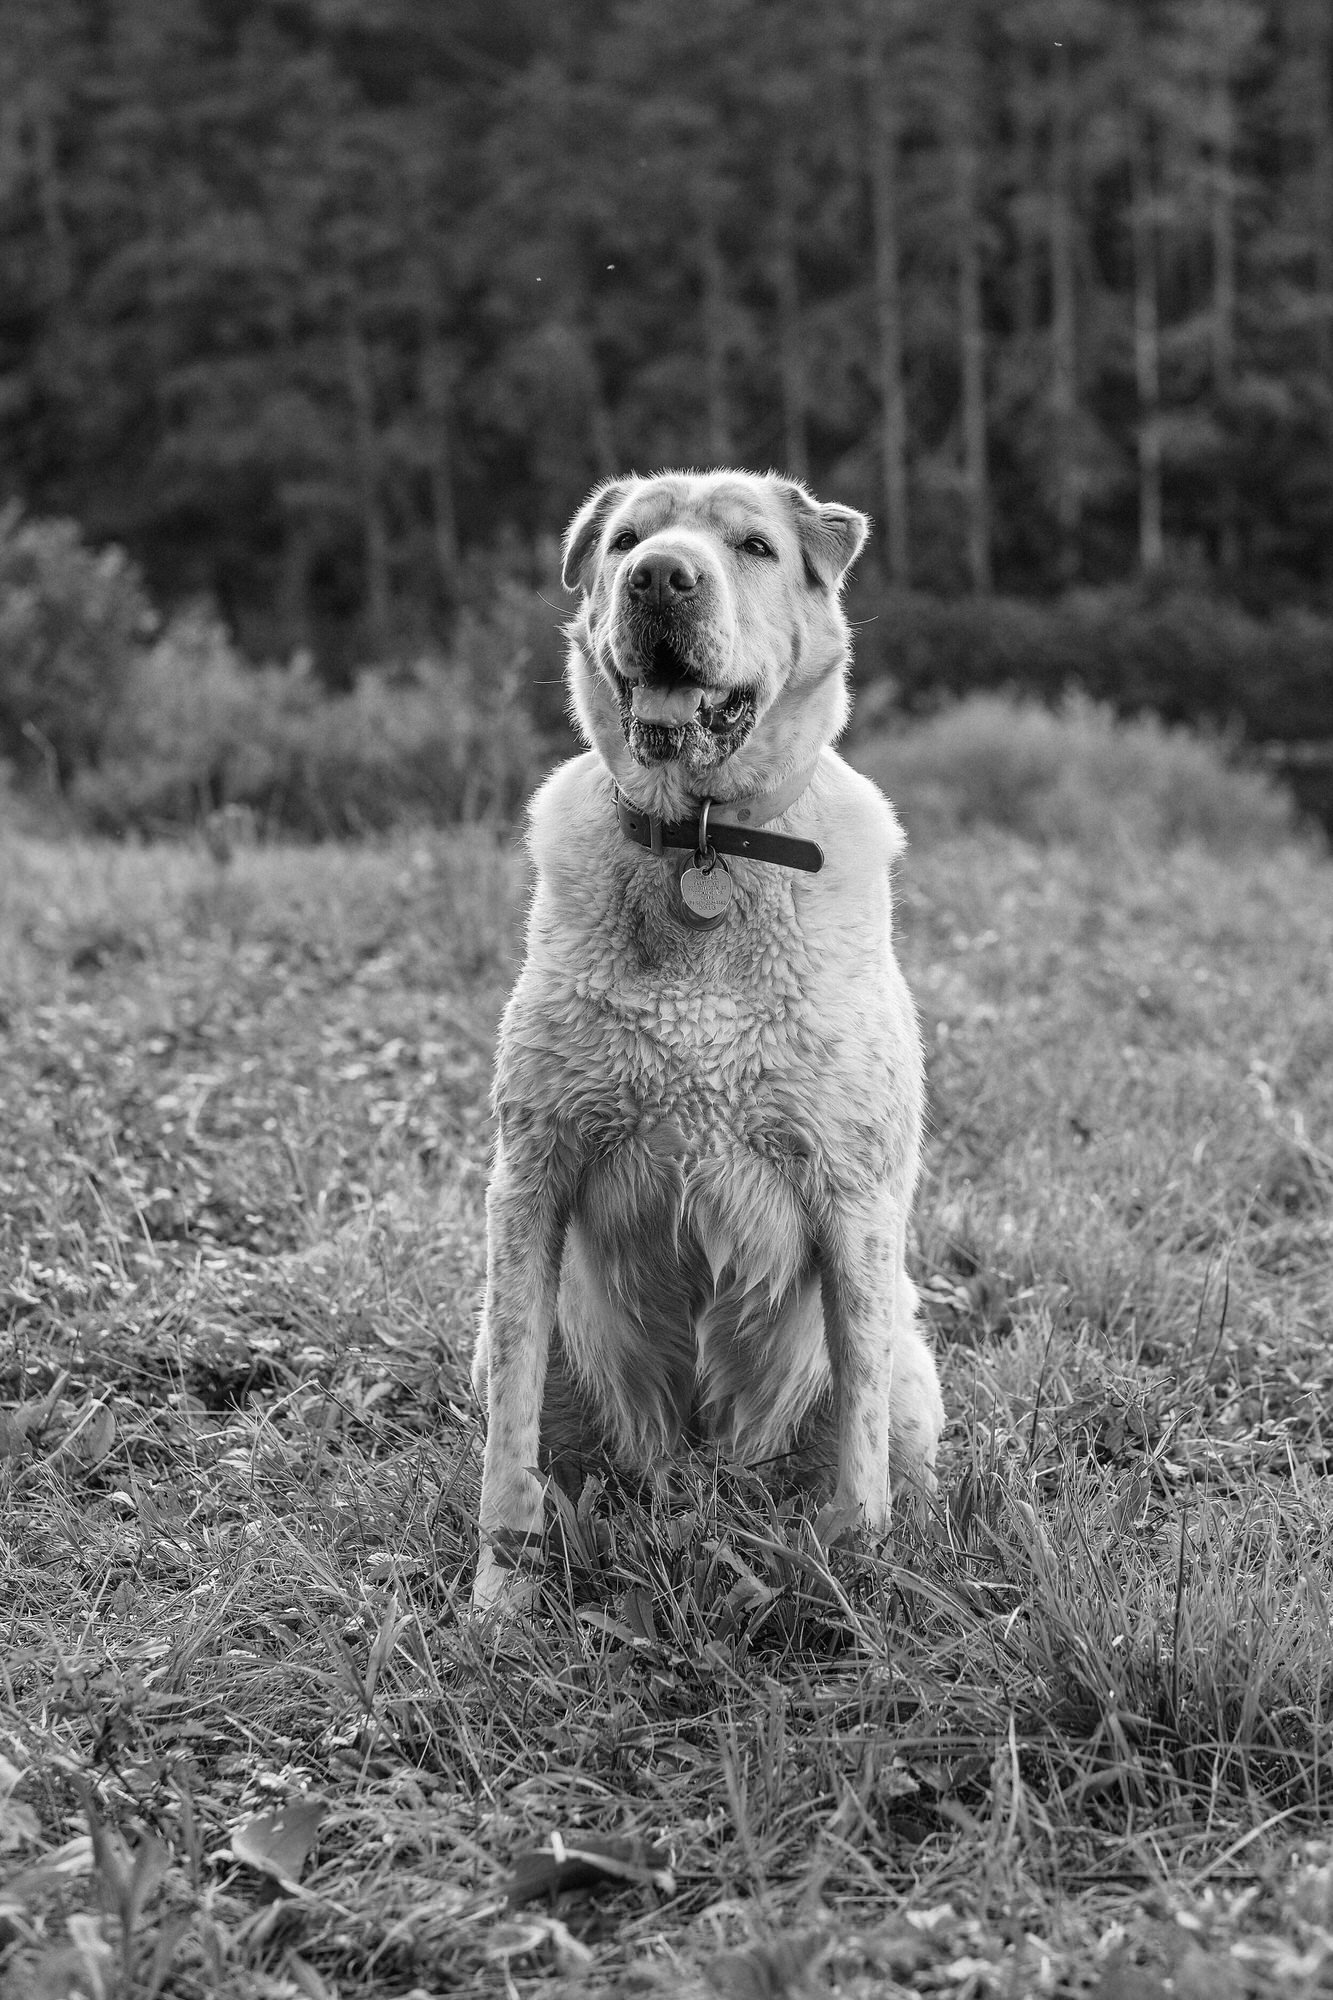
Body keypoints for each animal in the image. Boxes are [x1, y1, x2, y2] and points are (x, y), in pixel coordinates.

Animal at [472, 468, 940, 1608]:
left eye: (754, 546)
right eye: (626, 542)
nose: (660, 578)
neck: (702, 841)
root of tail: (697, 1477)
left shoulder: (853, 1193)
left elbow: (856, 1430)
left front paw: (855, 1577)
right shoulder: (530, 1172)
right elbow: (510, 1436)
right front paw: (497, 1596)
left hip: (914, 1360)